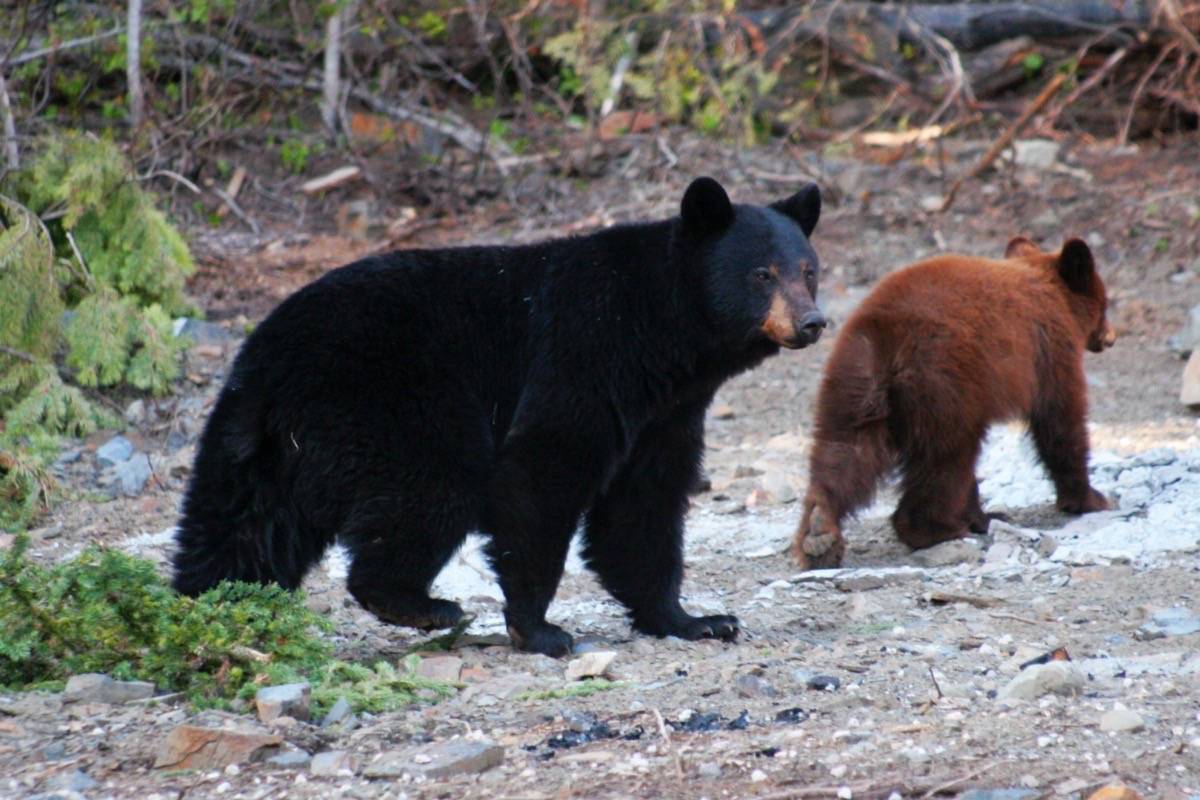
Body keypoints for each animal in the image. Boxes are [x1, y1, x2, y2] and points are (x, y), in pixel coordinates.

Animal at [171, 179, 825, 657]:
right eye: (762, 273)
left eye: (809, 269)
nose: (813, 322)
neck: (661, 333)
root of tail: (266, 367)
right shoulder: (585, 356)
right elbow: (541, 471)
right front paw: (540, 629)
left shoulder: (663, 415)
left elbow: (642, 508)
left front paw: (695, 619)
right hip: (397, 402)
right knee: (433, 486)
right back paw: (422, 604)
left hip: (261, 451)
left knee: (240, 528)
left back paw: (217, 607)